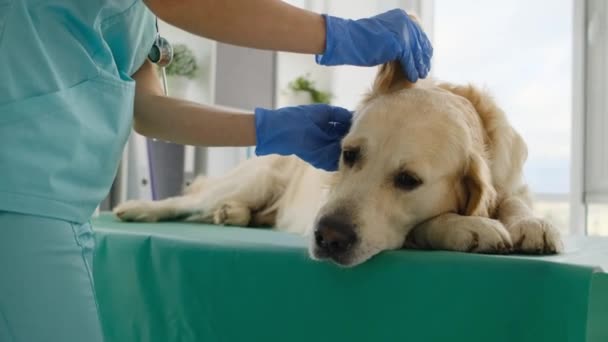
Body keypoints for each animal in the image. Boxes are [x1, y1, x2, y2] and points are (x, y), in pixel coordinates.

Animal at [113, 61, 560, 268]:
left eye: (408, 179)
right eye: (349, 154)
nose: (328, 237)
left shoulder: (511, 179)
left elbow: (514, 200)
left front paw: (532, 223)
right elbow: (425, 224)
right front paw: (469, 226)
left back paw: (232, 214)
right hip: (256, 179)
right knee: (186, 201)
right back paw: (138, 207)